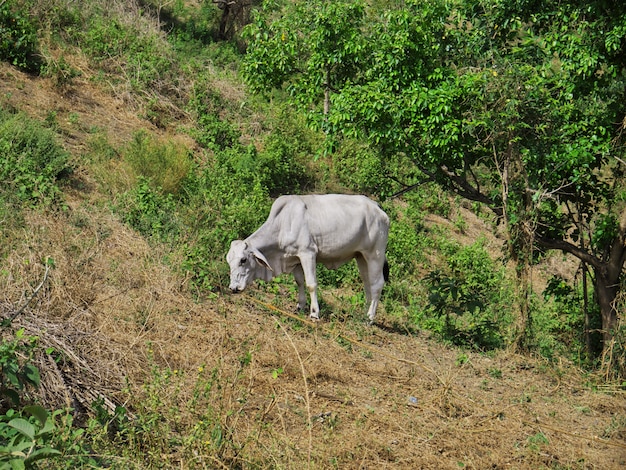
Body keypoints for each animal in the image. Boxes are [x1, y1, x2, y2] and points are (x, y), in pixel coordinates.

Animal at [227, 195, 388, 324]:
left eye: (243, 260)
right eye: (229, 261)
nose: (233, 288)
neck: (284, 223)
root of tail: (376, 206)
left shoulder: (308, 253)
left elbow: (311, 284)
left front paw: (314, 313)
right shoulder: (295, 258)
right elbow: (299, 282)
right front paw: (300, 306)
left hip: (375, 255)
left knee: (377, 284)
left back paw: (370, 318)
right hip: (361, 257)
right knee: (368, 284)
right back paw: (364, 313)